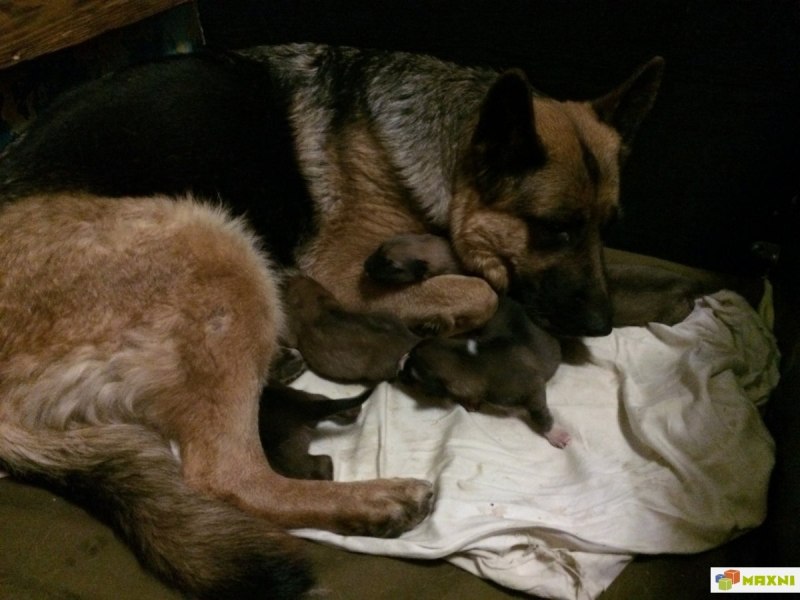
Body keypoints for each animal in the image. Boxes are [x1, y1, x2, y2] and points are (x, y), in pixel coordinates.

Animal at [0, 43, 664, 339]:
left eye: (607, 229)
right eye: (555, 229)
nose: (603, 326)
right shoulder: (345, 268)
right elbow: (481, 290)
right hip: (212, 231)